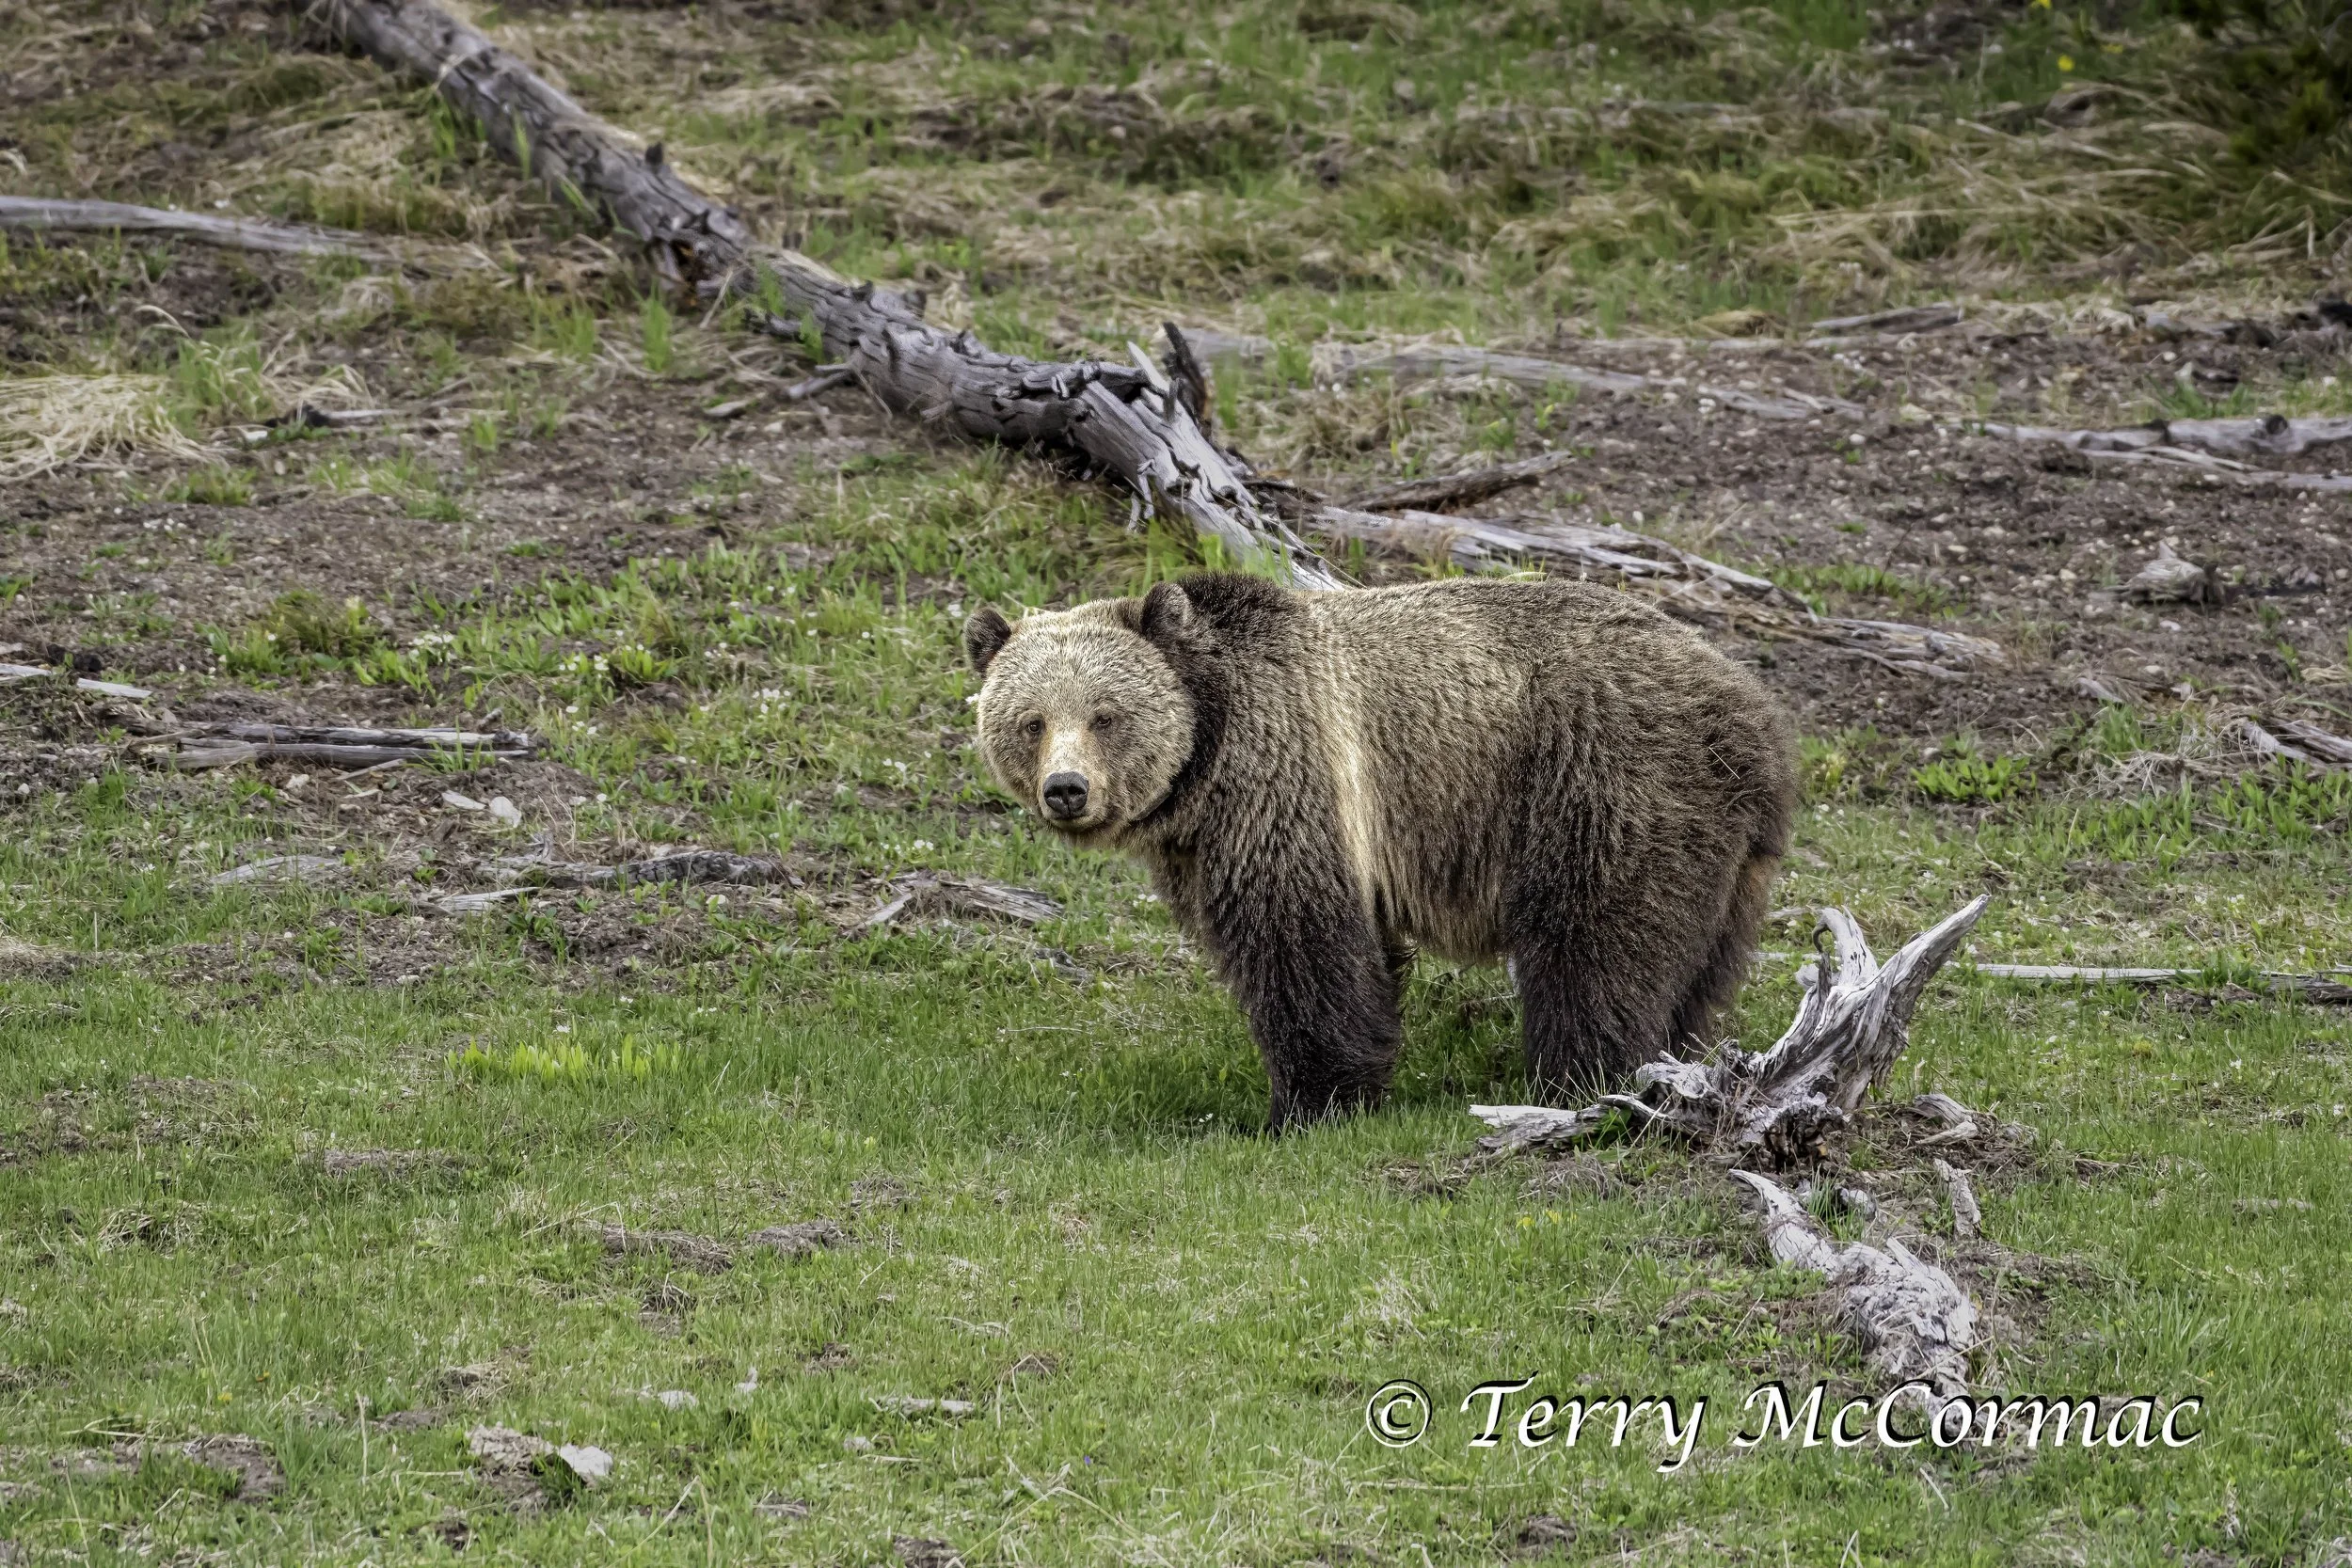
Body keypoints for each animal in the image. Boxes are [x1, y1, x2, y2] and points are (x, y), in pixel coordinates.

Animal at [963, 571, 1797, 1130]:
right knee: (1696, 963)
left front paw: (1309, 1101)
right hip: (1726, 856)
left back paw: (1576, 1078)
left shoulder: (1293, 772)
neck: (1209, 742)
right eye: (1032, 720)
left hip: (1603, 779)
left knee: (1596, 939)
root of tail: (1753, 712)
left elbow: (1302, 942)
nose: (1066, 789)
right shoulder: (1202, 839)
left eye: (1105, 715)